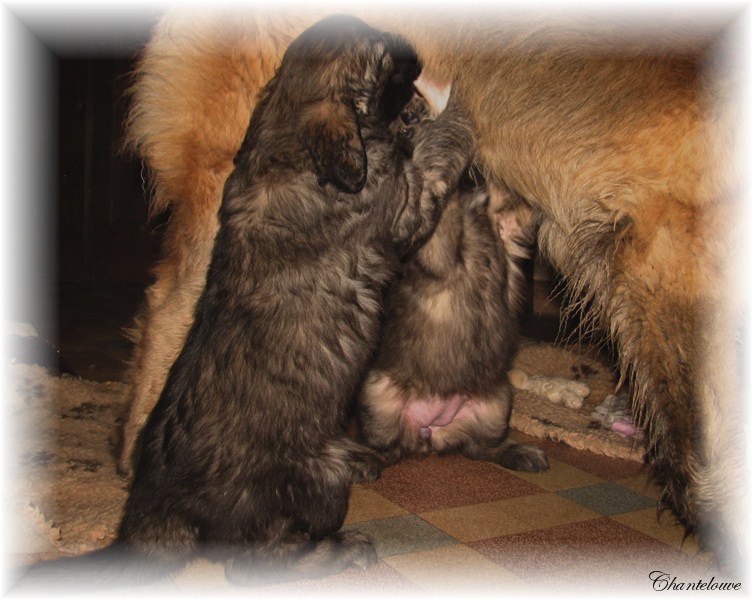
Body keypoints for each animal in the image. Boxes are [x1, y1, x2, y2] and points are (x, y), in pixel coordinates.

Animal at [19, 16, 470, 592]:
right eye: (384, 57)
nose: (418, 54)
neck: (286, 130)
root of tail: (160, 508)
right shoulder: (402, 208)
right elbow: (434, 162)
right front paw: (453, 117)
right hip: (313, 480)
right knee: (255, 562)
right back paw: (341, 550)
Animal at [358, 94, 548, 472]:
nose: (410, 117)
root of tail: (431, 434)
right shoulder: (436, 245)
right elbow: (439, 194)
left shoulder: (510, 221)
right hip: (378, 396)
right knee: (388, 448)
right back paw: (365, 460)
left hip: (496, 403)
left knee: (481, 448)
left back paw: (520, 453)